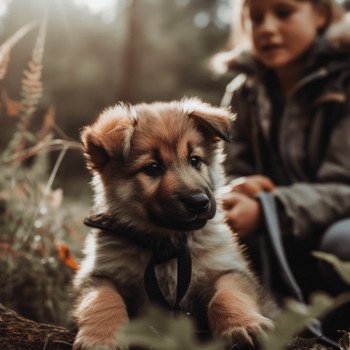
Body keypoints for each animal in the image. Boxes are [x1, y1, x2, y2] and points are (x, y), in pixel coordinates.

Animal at [72, 98, 272, 350]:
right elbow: (101, 299)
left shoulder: (227, 270)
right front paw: (99, 337)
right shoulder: (99, 275)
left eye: (195, 160)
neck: (166, 246)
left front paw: (244, 325)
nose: (199, 202)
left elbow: (226, 296)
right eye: (152, 167)